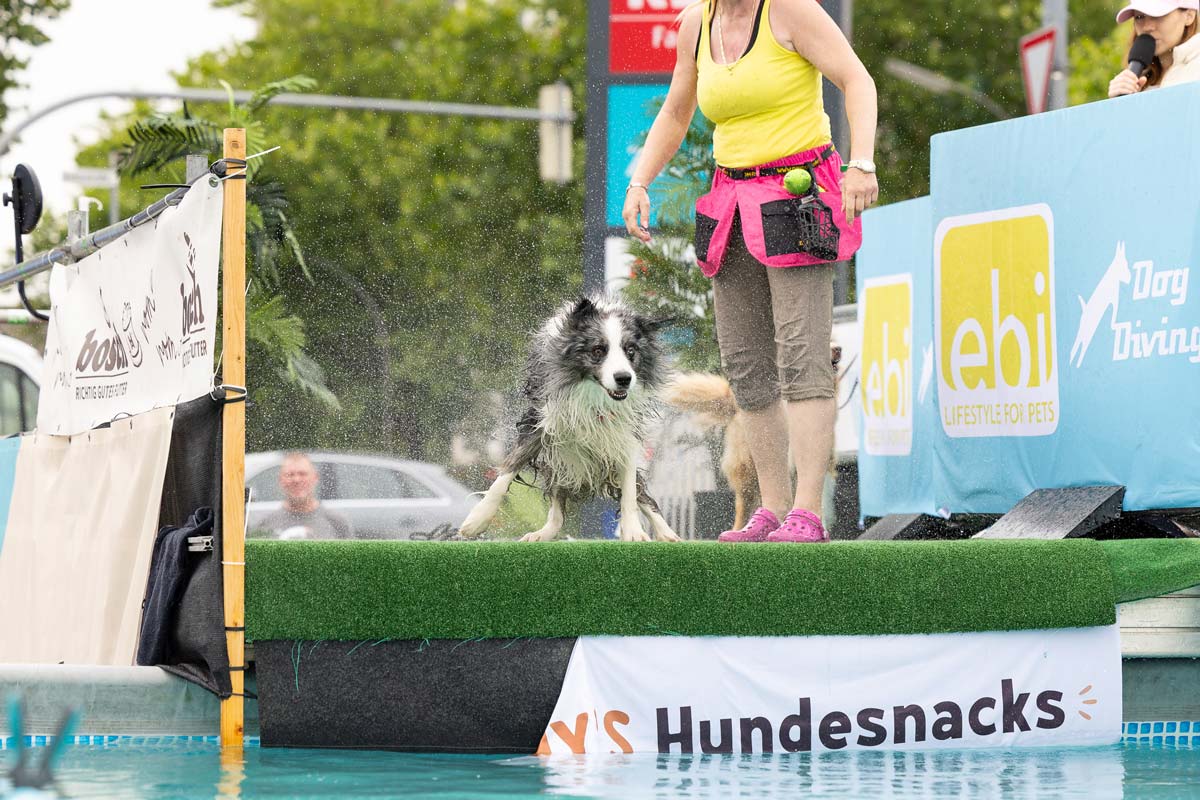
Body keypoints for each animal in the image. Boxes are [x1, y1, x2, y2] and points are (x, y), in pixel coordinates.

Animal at [458, 296, 681, 543]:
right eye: (598, 350)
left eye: (630, 350)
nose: (624, 378)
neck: (593, 393)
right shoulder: (540, 420)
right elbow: (509, 468)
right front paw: (478, 519)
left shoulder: (622, 434)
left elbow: (630, 491)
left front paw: (634, 532)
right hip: (559, 456)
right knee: (557, 510)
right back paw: (542, 533)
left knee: (640, 493)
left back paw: (667, 533)